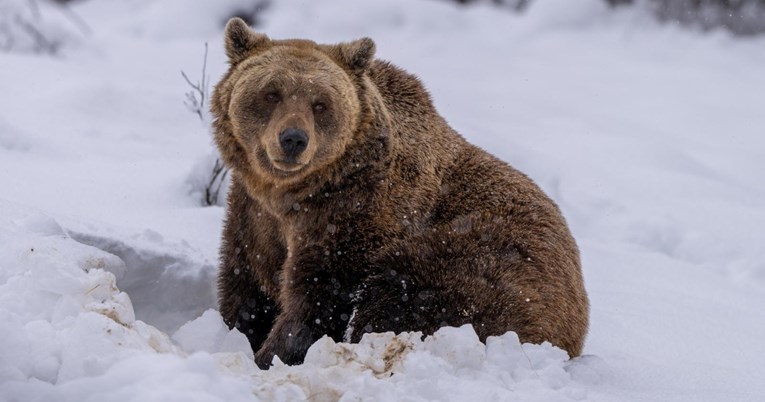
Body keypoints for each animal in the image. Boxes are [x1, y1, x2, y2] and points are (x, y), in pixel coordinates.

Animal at [210, 18, 592, 370]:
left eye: (320, 103)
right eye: (271, 93)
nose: (293, 139)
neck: (295, 194)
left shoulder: (354, 217)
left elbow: (318, 298)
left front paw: (269, 356)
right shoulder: (253, 215)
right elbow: (245, 286)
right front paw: (236, 333)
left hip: (477, 263)